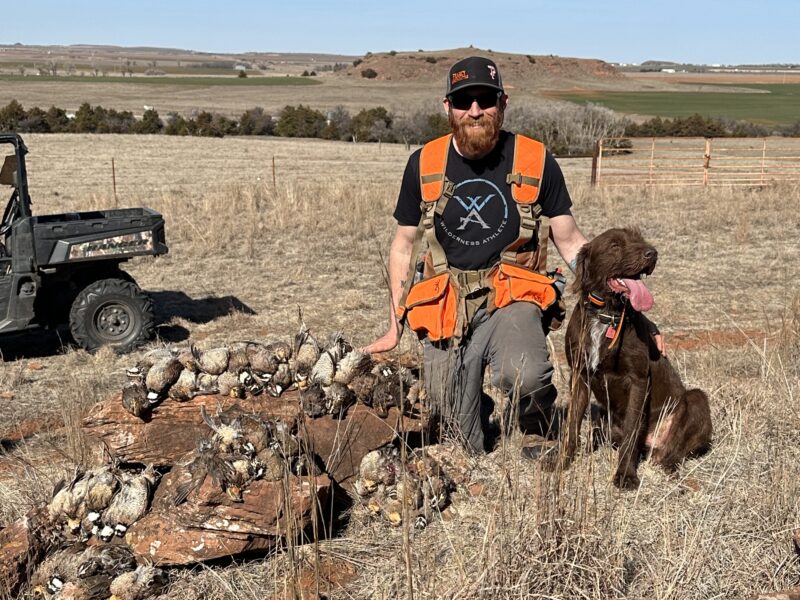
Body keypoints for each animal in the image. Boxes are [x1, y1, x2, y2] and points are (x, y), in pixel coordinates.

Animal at [564, 227, 712, 490]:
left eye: (640, 239)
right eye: (614, 245)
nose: (652, 253)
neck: (607, 315)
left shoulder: (638, 381)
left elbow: (632, 431)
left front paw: (625, 476)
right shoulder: (579, 376)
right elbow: (572, 423)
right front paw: (561, 461)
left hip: (696, 400)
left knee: (671, 454)